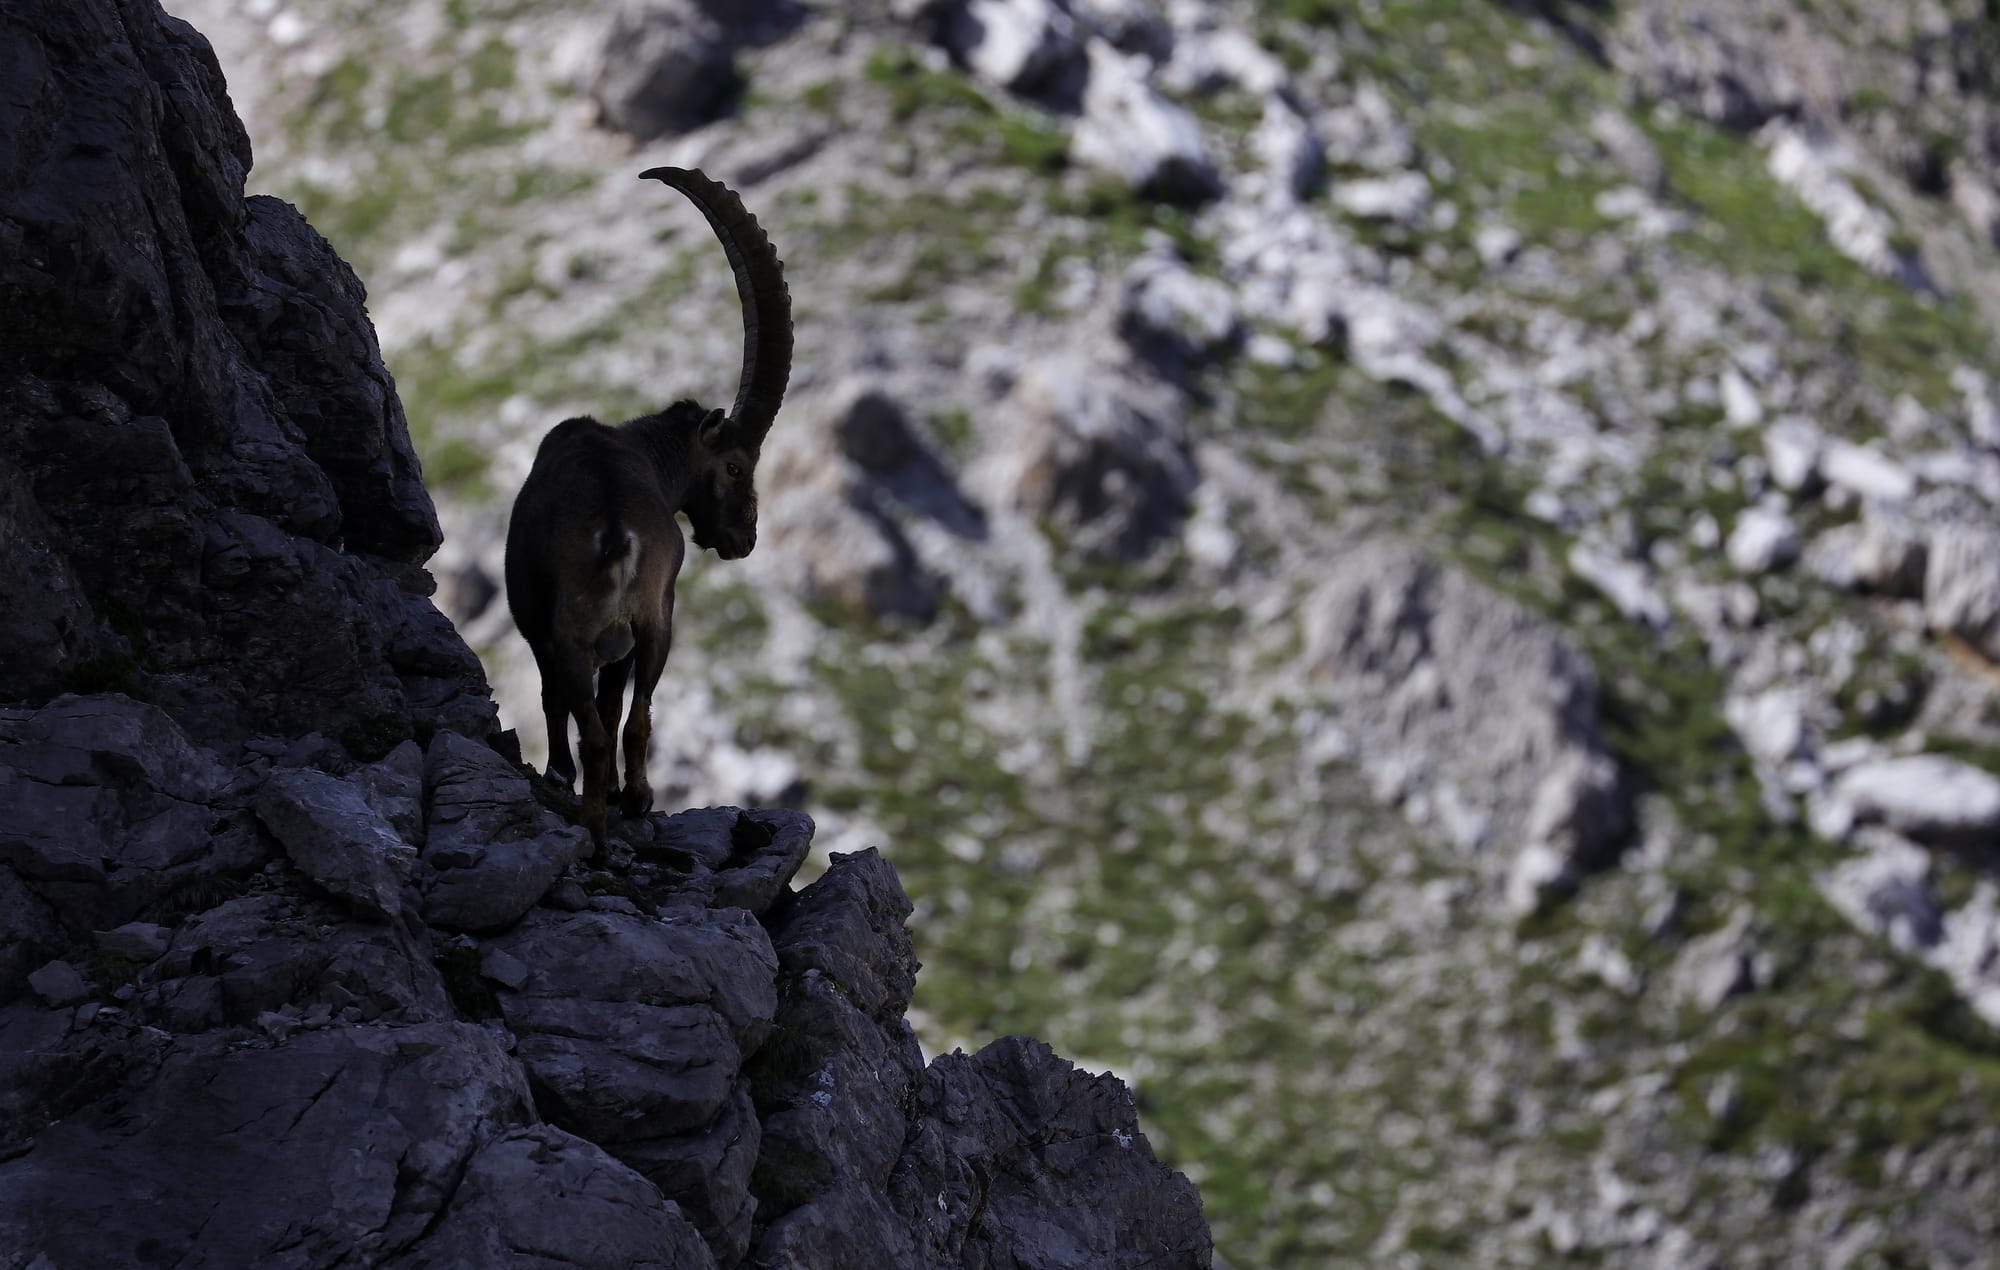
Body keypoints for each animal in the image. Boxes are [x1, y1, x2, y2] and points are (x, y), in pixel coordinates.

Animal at [504, 167, 792, 848]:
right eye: (735, 467)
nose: (745, 537)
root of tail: (616, 529)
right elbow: (615, 709)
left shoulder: (541, 627)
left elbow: (559, 705)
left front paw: (558, 779)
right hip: (655, 619)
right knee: (629, 718)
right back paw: (629, 804)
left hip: (581, 630)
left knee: (591, 724)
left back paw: (603, 825)